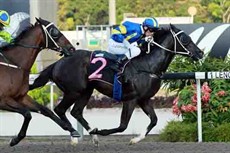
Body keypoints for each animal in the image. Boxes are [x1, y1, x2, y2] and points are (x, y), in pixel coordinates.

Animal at [0, 17, 79, 146]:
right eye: (54, 31)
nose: (72, 48)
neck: (15, 65)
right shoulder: (3, 100)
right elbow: (27, 114)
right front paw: (15, 139)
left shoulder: (21, 97)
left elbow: (46, 110)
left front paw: (71, 129)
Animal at [29, 23, 203, 145]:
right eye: (186, 39)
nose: (200, 53)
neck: (147, 66)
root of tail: (58, 62)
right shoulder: (131, 99)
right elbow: (122, 126)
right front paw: (102, 131)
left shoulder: (144, 99)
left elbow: (154, 120)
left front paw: (135, 139)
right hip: (74, 91)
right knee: (60, 109)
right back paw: (76, 134)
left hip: (86, 91)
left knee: (76, 112)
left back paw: (92, 136)